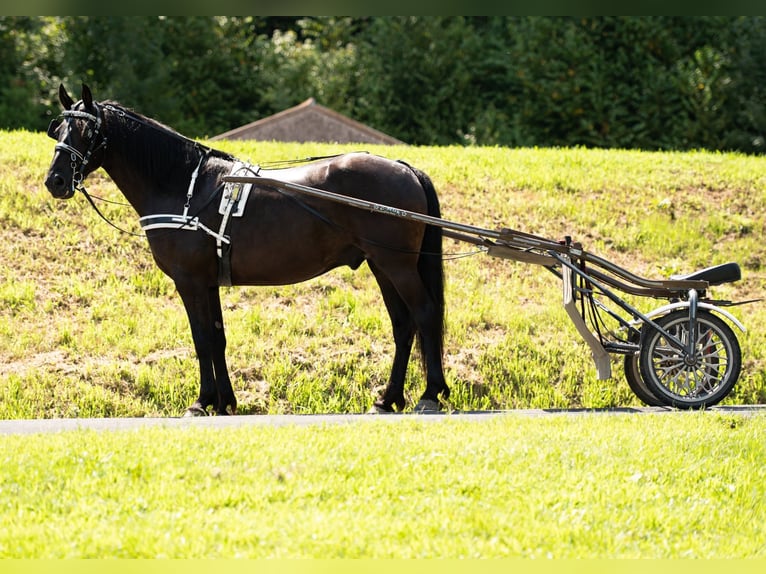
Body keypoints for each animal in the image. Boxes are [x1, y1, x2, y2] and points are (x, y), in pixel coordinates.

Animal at [44, 84, 449, 416]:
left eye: (86, 131)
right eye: (59, 129)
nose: (56, 181)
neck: (185, 185)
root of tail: (402, 167)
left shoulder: (189, 281)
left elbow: (202, 339)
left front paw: (202, 402)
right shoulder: (208, 282)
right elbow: (217, 338)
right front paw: (225, 402)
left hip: (396, 265)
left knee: (425, 314)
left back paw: (430, 394)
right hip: (382, 265)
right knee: (403, 325)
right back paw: (388, 398)